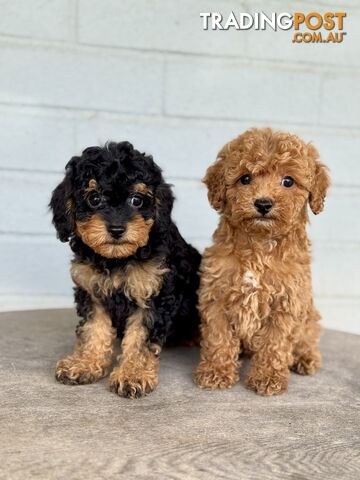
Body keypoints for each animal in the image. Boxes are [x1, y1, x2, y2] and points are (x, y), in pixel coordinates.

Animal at [49, 142, 201, 398]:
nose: (117, 229)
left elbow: (140, 339)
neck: (117, 259)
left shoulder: (153, 294)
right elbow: (93, 329)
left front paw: (132, 375)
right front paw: (84, 364)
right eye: (94, 198)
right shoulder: (92, 291)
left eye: (136, 200)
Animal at [195, 127, 330, 394]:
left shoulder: (286, 303)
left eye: (288, 181)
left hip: (309, 316)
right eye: (245, 179)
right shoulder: (216, 295)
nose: (263, 203)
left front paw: (268, 377)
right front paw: (216, 371)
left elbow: (274, 344)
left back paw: (306, 358)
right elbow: (218, 337)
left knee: (308, 337)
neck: (259, 244)